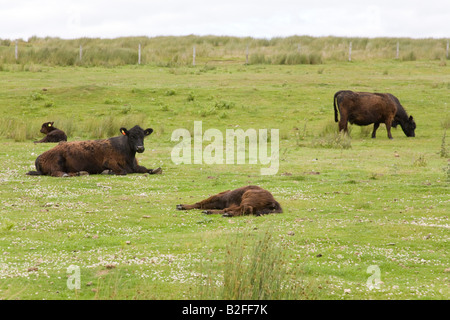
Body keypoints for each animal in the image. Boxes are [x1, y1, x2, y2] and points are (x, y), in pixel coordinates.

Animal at [26, 125, 162, 178]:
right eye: (132, 136)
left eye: (143, 136)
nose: (140, 148)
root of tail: (40, 156)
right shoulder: (109, 162)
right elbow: (122, 171)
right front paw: (109, 172)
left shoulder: (135, 166)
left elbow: (146, 169)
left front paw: (155, 169)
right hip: (57, 160)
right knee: (56, 172)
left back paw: (80, 172)